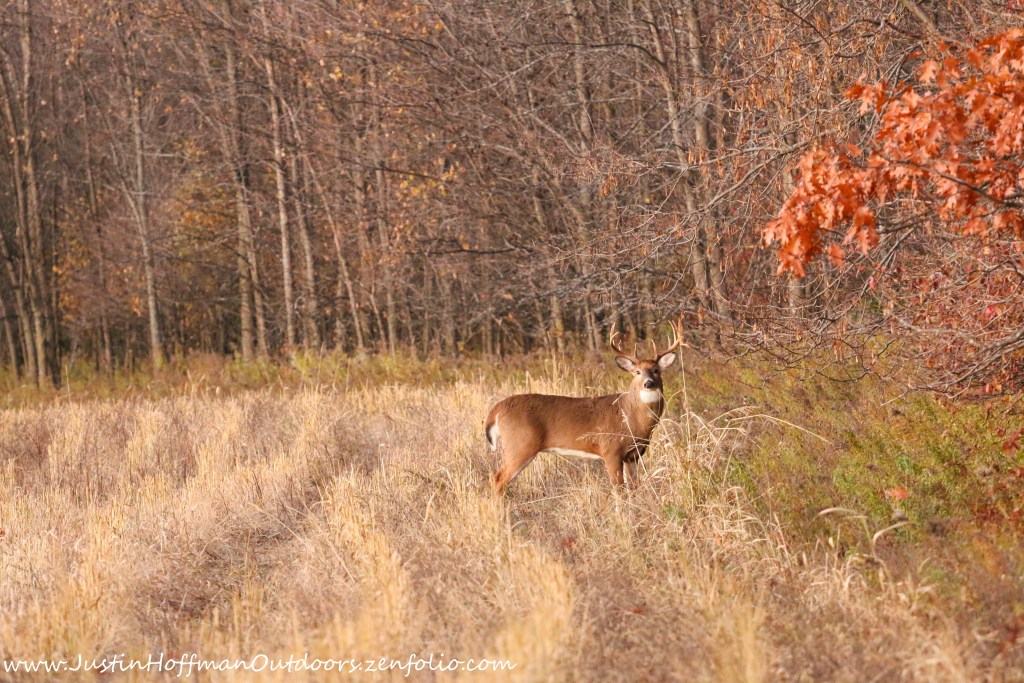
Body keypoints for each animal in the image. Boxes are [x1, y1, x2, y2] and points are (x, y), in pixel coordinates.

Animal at [483, 321, 684, 497]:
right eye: (637, 372)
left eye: (656, 370)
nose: (648, 383)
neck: (630, 418)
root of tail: (496, 410)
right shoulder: (610, 450)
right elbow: (619, 491)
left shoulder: (634, 455)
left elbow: (634, 489)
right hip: (520, 444)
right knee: (498, 479)